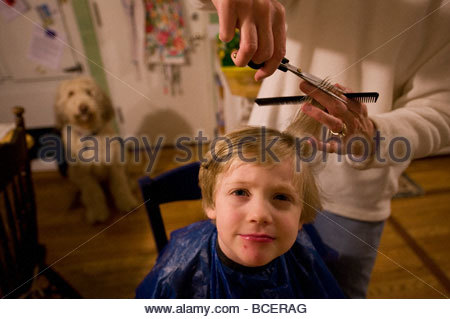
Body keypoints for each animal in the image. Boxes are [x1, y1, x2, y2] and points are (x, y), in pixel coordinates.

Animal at [54, 76, 137, 224]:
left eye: (89, 92)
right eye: (70, 94)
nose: (83, 107)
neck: (89, 133)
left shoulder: (115, 167)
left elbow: (120, 186)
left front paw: (127, 203)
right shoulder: (85, 175)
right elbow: (93, 194)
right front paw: (98, 214)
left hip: (125, 158)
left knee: (126, 179)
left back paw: (131, 184)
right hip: (73, 173)